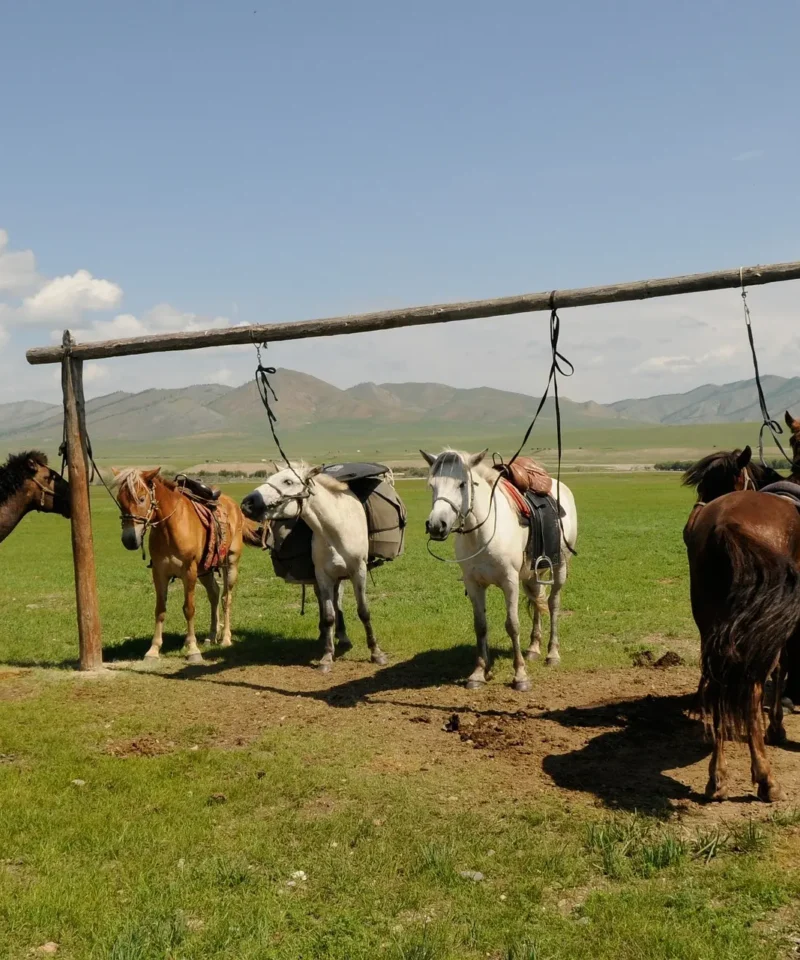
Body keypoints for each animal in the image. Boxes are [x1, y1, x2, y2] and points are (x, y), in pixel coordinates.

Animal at [113, 468, 260, 662]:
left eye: (142, 498)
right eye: (120, 500)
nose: (129, 540)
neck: (169, 527)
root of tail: (235, 507)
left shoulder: (189, 571)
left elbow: (189, 609)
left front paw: (192, 649)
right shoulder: (159, 573)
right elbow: (160, 610)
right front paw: (153, 650)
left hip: (230, 564)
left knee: (226, 598)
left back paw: (225, 638)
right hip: (205, 570)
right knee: (214, 593)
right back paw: (211, 636)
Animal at [241, 463, 389, 672]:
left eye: (288, 481)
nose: (247, 503)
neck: (335, 529)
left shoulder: (358, 572)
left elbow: (363, 612)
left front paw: (376, 653)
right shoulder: (323, 576)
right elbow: (328, 615)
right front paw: (327, 656)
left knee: (338, 601)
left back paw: (342, 637)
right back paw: (326, 636)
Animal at [421, 449, 578, 692]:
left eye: (462, 484)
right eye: (432, 485)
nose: (437, 525)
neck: (482, 533)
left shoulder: (509, 582)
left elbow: (512, 625)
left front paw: (520, 676)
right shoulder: (473, 584)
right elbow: (480, 626)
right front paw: (478, 673)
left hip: (559, 568)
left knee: (553, 605)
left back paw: (552, 654)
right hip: (533, 575)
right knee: (537, 600)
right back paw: (533, 649)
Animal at [683, 419, 800, 802]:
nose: (688, 526)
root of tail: (723, 525)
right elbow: (784, 667)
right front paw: (776, 726)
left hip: (710, 624)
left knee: (719, 685)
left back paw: (716, 778)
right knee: (752, 688)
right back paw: (766, 778)